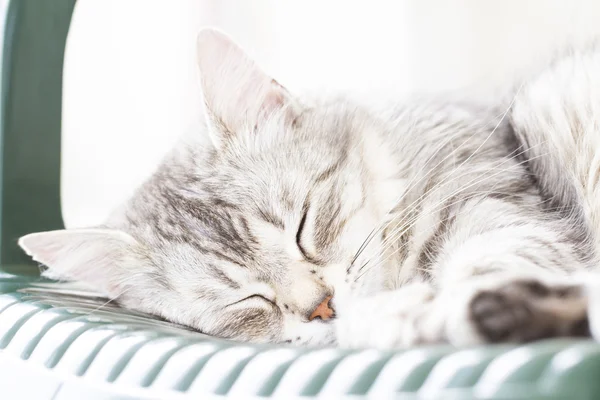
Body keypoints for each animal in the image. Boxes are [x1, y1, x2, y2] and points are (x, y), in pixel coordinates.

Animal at [15, 29, 600, 346]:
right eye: (246, 298)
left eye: (302, 226)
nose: (322, 308)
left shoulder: (505, 213)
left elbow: (482, 266)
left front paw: (414, 313)